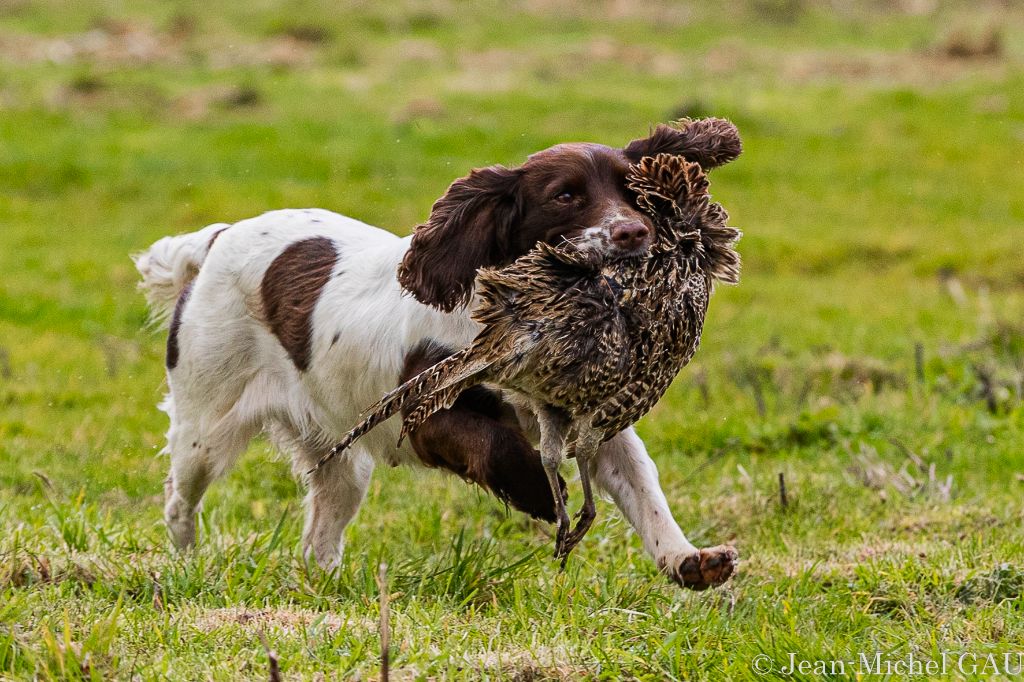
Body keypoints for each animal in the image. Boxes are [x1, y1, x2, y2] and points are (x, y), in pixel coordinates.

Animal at [136, 122, 741, 589]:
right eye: (564, 196)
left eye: (635, 193)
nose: (634, 233)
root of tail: (218, 236)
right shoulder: (423, 412)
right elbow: (497, 445)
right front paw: (542, 497)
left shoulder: (593, 417)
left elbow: (642, 487)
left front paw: (689, 560)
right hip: (205, 424)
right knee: (178, 498)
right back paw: (185, 562)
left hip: (339, 456)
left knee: (321, 528)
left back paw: (324, 583)